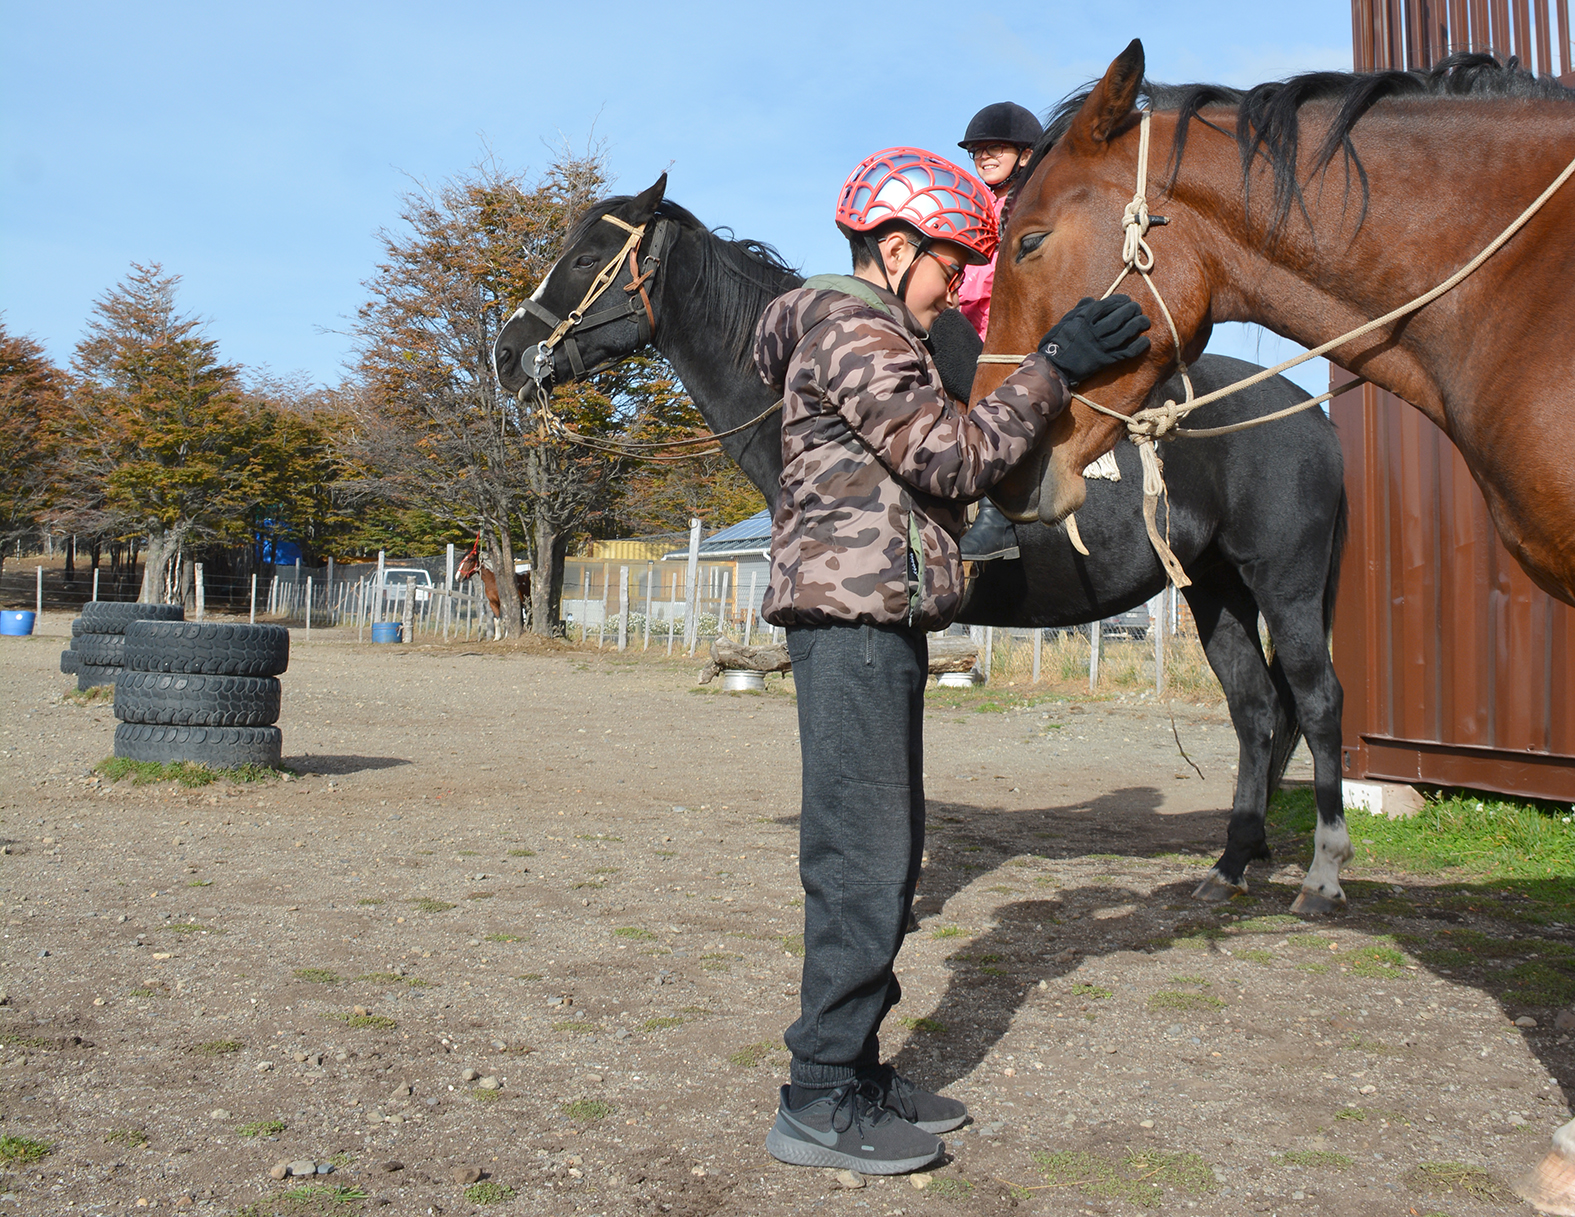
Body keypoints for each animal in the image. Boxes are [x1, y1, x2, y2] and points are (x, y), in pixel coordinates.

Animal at [493, 182, 1353, 913]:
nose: (506, 352)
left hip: (1285, 582)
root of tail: (1307, 410)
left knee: (1313, 701)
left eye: (583, 260)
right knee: (1255, 710)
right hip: (1215, 589)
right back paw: (1231, 863)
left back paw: (1320, 873)